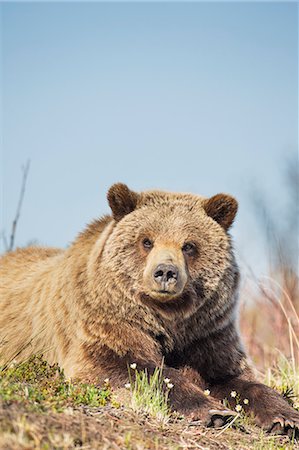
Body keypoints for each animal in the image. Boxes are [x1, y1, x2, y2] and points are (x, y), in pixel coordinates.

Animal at [0, 184, 298, 436]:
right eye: (146, 241)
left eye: (189, 245)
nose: (165, 272)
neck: (168, 320)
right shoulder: (109, 325)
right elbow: (131, 369)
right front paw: (213, 411)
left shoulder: (206, 334)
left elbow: (234, 378)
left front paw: (285, 418)